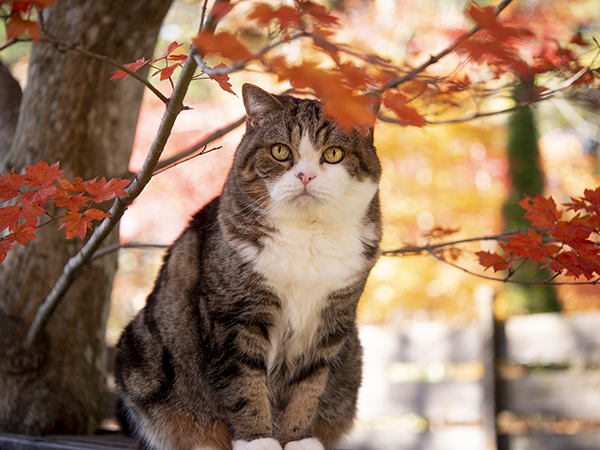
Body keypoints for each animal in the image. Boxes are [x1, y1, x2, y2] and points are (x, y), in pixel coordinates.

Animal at [115, 83, 382, 450]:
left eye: (333, 154)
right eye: (280, 151)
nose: (306, 175)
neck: (307, 235)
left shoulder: (332, 320)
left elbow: (310, 386)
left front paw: (298, 439)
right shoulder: (235, 316)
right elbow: (243, 382)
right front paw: (258, 440)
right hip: (142, 353)